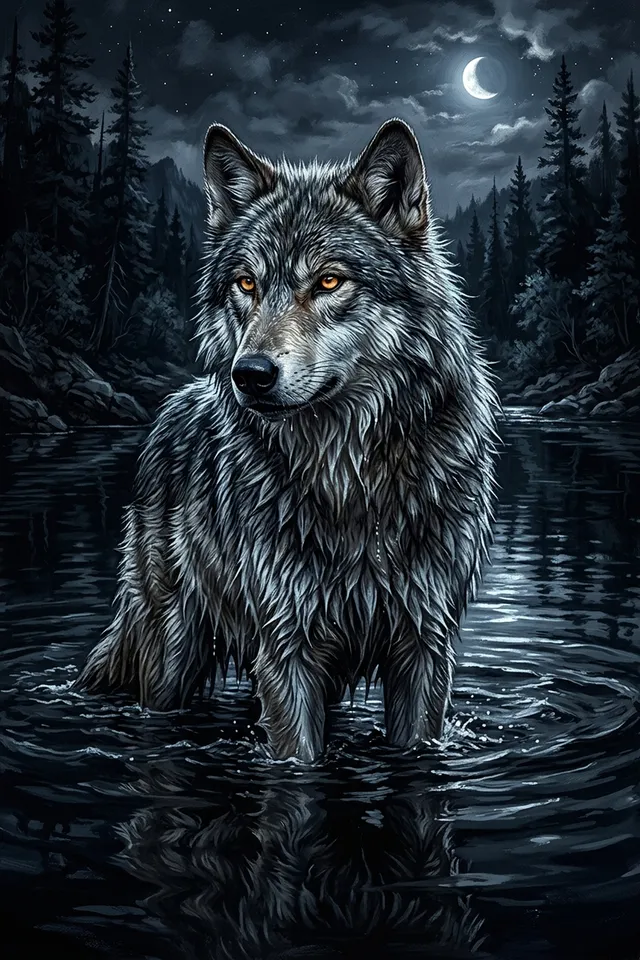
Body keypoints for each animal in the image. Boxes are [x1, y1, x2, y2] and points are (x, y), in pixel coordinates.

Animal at [76, 118, 499, 762]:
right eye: (246, 283)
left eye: (328, 281)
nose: (249, 374)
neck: (350, 480)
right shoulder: (286, 645)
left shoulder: (423, 645)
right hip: (171, 651)